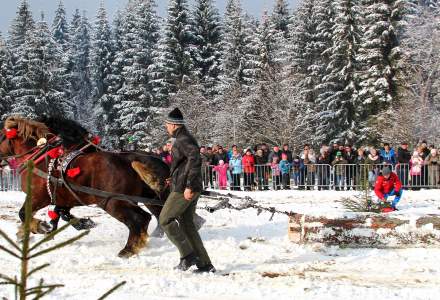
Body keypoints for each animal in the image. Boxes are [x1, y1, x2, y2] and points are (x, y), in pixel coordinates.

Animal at [0, 116, 169, 256]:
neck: (42, 159)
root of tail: (130, 159)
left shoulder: (38, 197)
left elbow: (23, 214)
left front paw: (39, 227)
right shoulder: (65, 197)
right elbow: (60, 214)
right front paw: (80, 224)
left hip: (112, 202)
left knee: (140, 219)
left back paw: (129, 249)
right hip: (148, 197)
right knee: (158, 215)